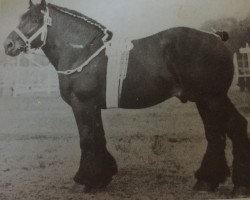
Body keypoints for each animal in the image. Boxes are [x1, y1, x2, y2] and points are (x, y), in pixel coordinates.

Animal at [2, 0, 250, 196]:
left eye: (35, 19)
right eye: (21, 18)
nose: (8, 45)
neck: (82, 51)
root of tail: (217, 38)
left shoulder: (82, 104)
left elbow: (87, 139)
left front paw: (83, 181)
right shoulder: (93, 106)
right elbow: (99, 137)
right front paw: (101, 178)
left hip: (212, 99)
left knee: (227, 130)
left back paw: (230, 184)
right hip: (207, 99)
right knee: (224, 131)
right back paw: (215, 182)